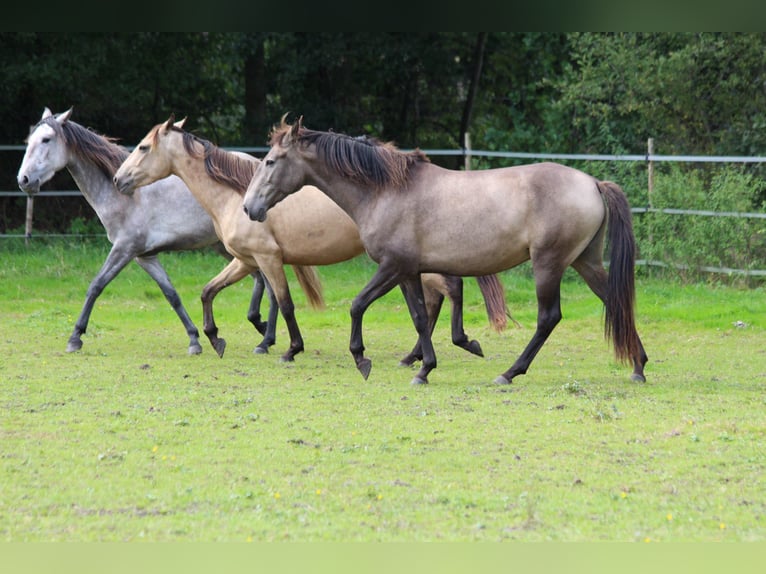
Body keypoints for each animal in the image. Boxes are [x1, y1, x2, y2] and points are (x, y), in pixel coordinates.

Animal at [18, 109, 316, 356]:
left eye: (46, 140)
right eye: (29, 141)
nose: (23, 180)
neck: (124, 195)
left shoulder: (124, 249)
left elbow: (96, 286)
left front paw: (75, 337)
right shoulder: (144, 256)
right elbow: (171, 294)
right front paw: (195, 339)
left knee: (270, 287)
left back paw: (265, 339)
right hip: (228, 248)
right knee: (262, 283)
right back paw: (262, 330)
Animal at [114, 117, 510, 366]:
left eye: (143, 147)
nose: (119, 179)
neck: (233, 193)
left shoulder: (267, 259)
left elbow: (285, 304)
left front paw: (288, 348)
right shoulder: (245, 261)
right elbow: (210, 292)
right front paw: (217, 338)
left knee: (448, 290)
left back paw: (451, 346)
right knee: (438, 296)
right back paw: (420, 355)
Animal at [243, 117, 652, 388]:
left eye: (270, 161)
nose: (250, 208)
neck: (386, 190)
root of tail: (593, 183)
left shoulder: (392, 266)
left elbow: (358, 305)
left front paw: (362, 358)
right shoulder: (409, 271)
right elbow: (420, 317)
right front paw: (425, 368)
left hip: (549, 264)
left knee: (548, 318)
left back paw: (510, 373)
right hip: (585, 262)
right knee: (615, 301)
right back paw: (638, 366)